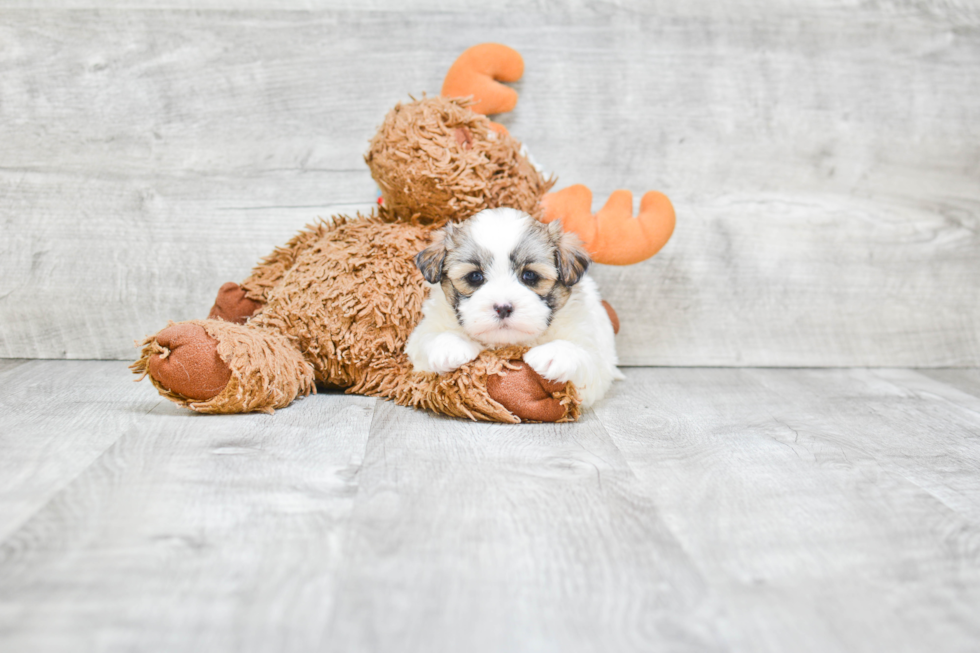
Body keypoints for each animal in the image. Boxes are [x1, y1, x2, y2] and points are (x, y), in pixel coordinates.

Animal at [404, 206, 620, 404]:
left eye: (530, 275)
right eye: (475, 277)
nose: (503, 307)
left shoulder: (595, 361)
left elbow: (585, 357)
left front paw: (555, 354)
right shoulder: (421, 339)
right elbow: (427, 339)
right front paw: (450, 346)